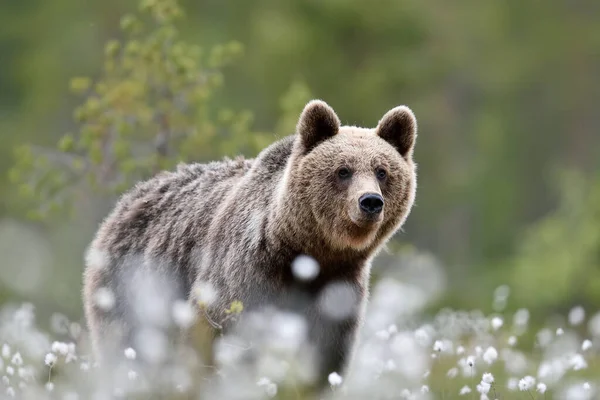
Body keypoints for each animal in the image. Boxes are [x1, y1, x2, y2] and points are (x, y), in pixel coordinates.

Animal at [82, 100, 418, 388]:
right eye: (343, 170)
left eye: (382, 171)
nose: (370, 201)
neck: (306, 255)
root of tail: (126, 202)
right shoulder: (246, 273)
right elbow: (217, 337)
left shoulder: (338, 288)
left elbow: (324, 357)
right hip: (129, 291)